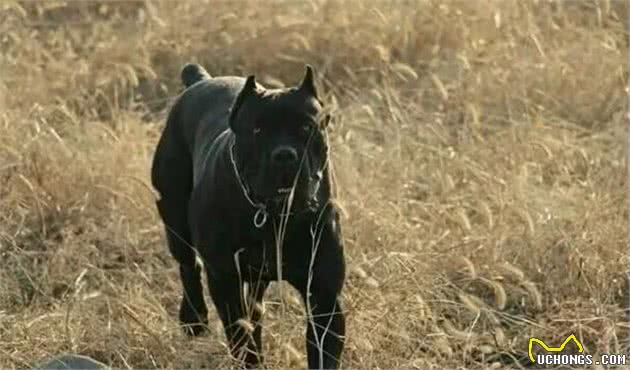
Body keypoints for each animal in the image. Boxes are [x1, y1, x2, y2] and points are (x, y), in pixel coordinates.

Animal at [152, 62, 348, 368]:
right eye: (257, 130)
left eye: (306, 127)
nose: (285, 155)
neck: (275, 215)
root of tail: (200, 80)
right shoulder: (225, 279)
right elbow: (241, 337)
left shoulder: (323, 293)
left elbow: (323, 351)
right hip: (174, 216)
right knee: (188, 264)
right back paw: (194, 319)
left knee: (254, 306)